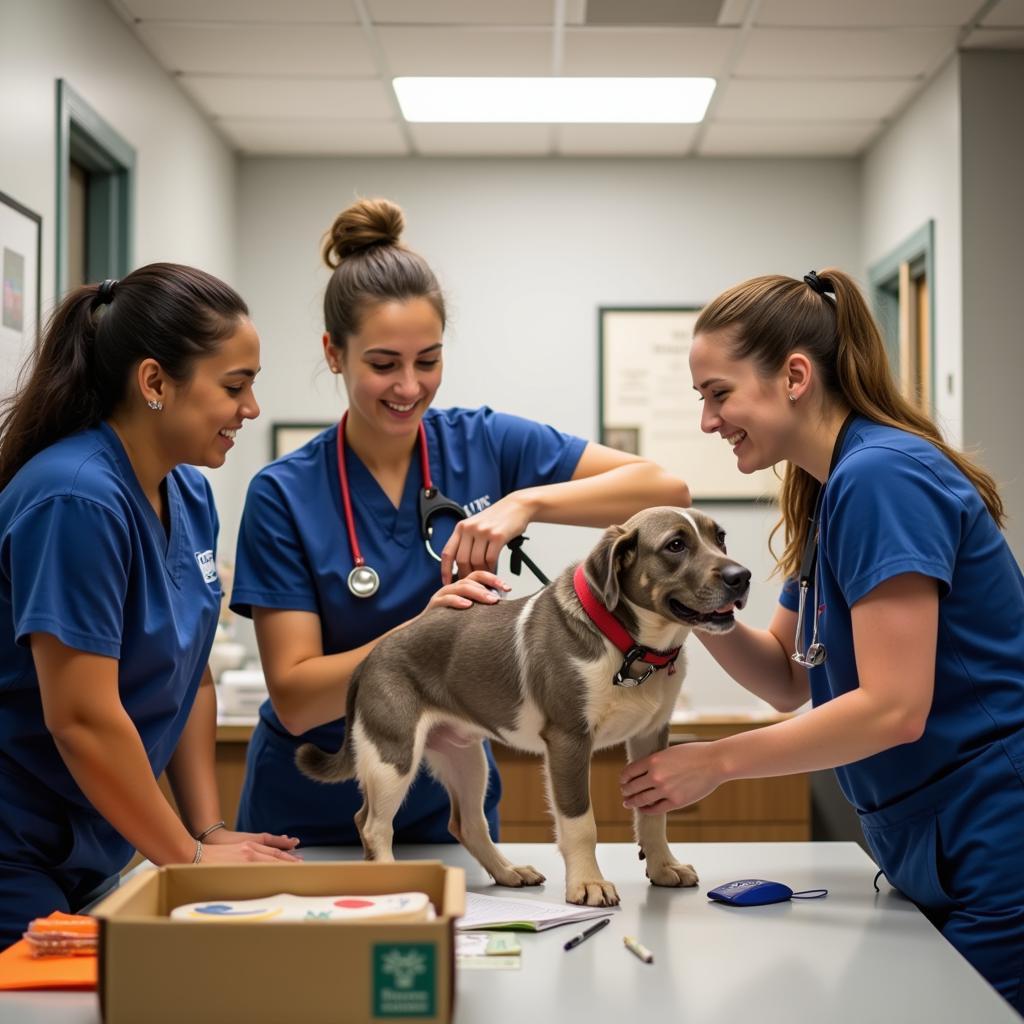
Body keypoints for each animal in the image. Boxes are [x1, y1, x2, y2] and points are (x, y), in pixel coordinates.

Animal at [296, 507, 753, 909]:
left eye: (720, 538)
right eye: (676, 545)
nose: (742, 576)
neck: (629, 647)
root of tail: (369, 657)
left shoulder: (650, 737)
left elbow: (654, 816)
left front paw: (662, 868)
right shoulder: (568, 741)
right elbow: (580, 823)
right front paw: (587, 884)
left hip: (465, 758)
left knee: (467, 823)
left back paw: (508, 872)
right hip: (392, 756)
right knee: (372, 824)